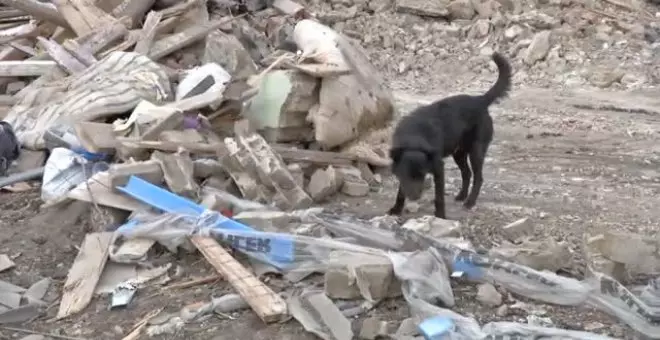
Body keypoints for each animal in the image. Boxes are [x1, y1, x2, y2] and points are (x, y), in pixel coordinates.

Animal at [390, 51, 512, 219]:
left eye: (422, 175)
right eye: (406, 175)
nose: (415, 197)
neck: (414, 138)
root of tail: (480, 100)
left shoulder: (438, 168)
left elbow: (439, 196)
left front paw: (440, 215)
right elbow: (401, 191)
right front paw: (396, 209)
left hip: (476, 151)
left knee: (478, 178)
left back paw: (470, 202)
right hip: (459, 153)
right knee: (467, 173)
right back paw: (462, 196)